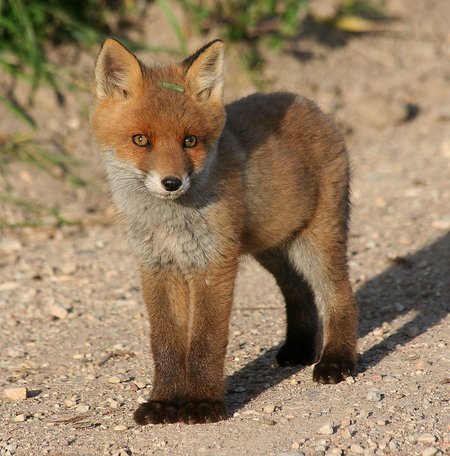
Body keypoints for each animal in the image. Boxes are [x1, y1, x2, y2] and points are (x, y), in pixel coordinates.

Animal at [91, 38, 358, 424]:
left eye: (190, 141)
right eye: (140, 140)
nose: (172, 182)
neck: (171, 222)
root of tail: (305, 100)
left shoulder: (214, 264)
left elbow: (206, 341)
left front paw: (203, 403)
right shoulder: (157, 267)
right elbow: (166, 344)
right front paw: (164, 402)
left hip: (317, 241)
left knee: (339, 295)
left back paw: (337, 360)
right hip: (272, 249)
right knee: (299, 292)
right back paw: (298, 349)